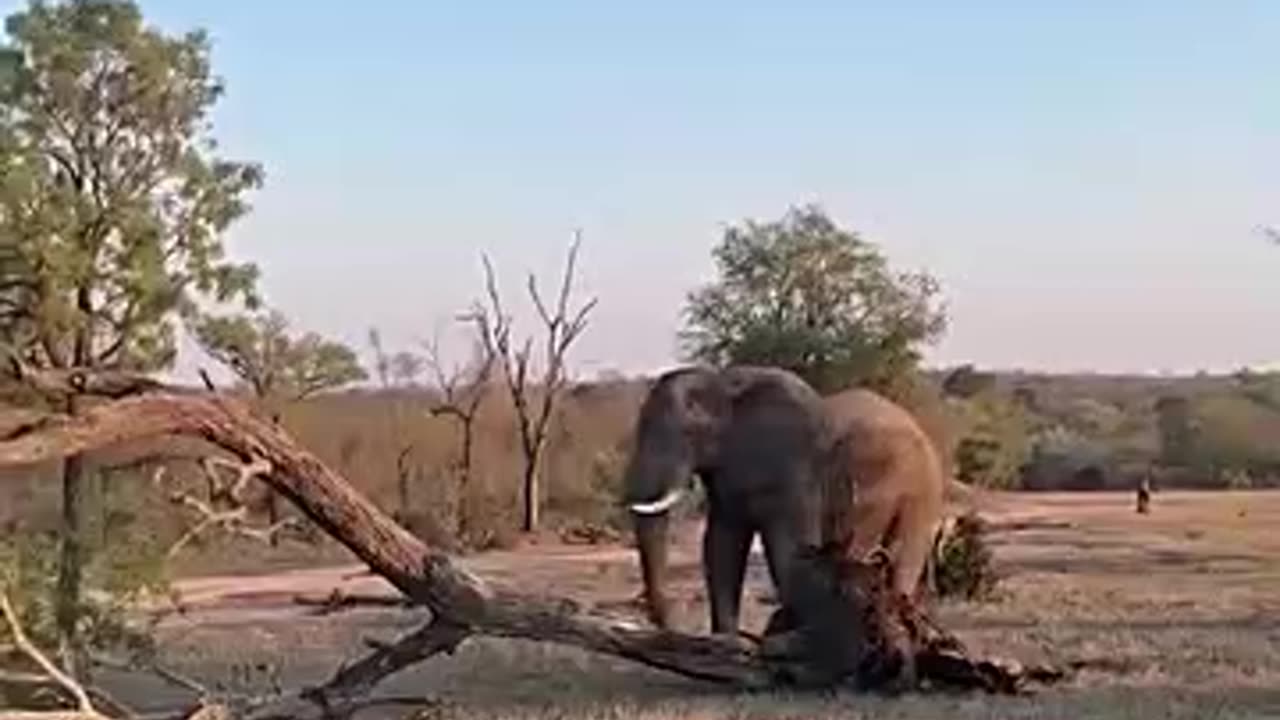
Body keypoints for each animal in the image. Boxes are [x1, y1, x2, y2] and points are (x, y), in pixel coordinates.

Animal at [619, 363, 952, 638]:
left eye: (689, 432)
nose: (671, 624)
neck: (722, 384)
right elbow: (720, 545)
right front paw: (725, 642)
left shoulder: (796, 471)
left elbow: (791, 548)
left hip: (920, 493)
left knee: (902, 566)